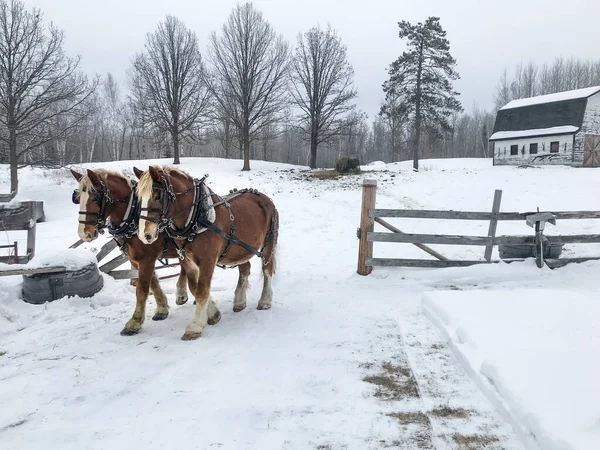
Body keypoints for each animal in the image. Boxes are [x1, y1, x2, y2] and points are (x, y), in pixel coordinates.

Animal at [70, 168, 192, 334]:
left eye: (95, 199)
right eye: (77, 198)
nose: (84, 234)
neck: (133, 215)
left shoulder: (147, 258)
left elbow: (142, 289)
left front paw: (134, 322)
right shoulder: (136, 259)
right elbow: (153, 283)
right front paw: (162, 309)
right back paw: (182, 294)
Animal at [136, 166, 278, 342]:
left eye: (157, 196)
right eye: (139, 198)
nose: (144, 235)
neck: (196, 217)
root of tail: (265, 198)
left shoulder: (208, 260)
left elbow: (202, 290)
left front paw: (196, 326)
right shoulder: (187, 260)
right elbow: (194, 287)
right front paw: (213, 314)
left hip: (269, 243)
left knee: (267, 270)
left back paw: (265, 300)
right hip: (240, 249)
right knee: (245, 269)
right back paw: (239, 301)